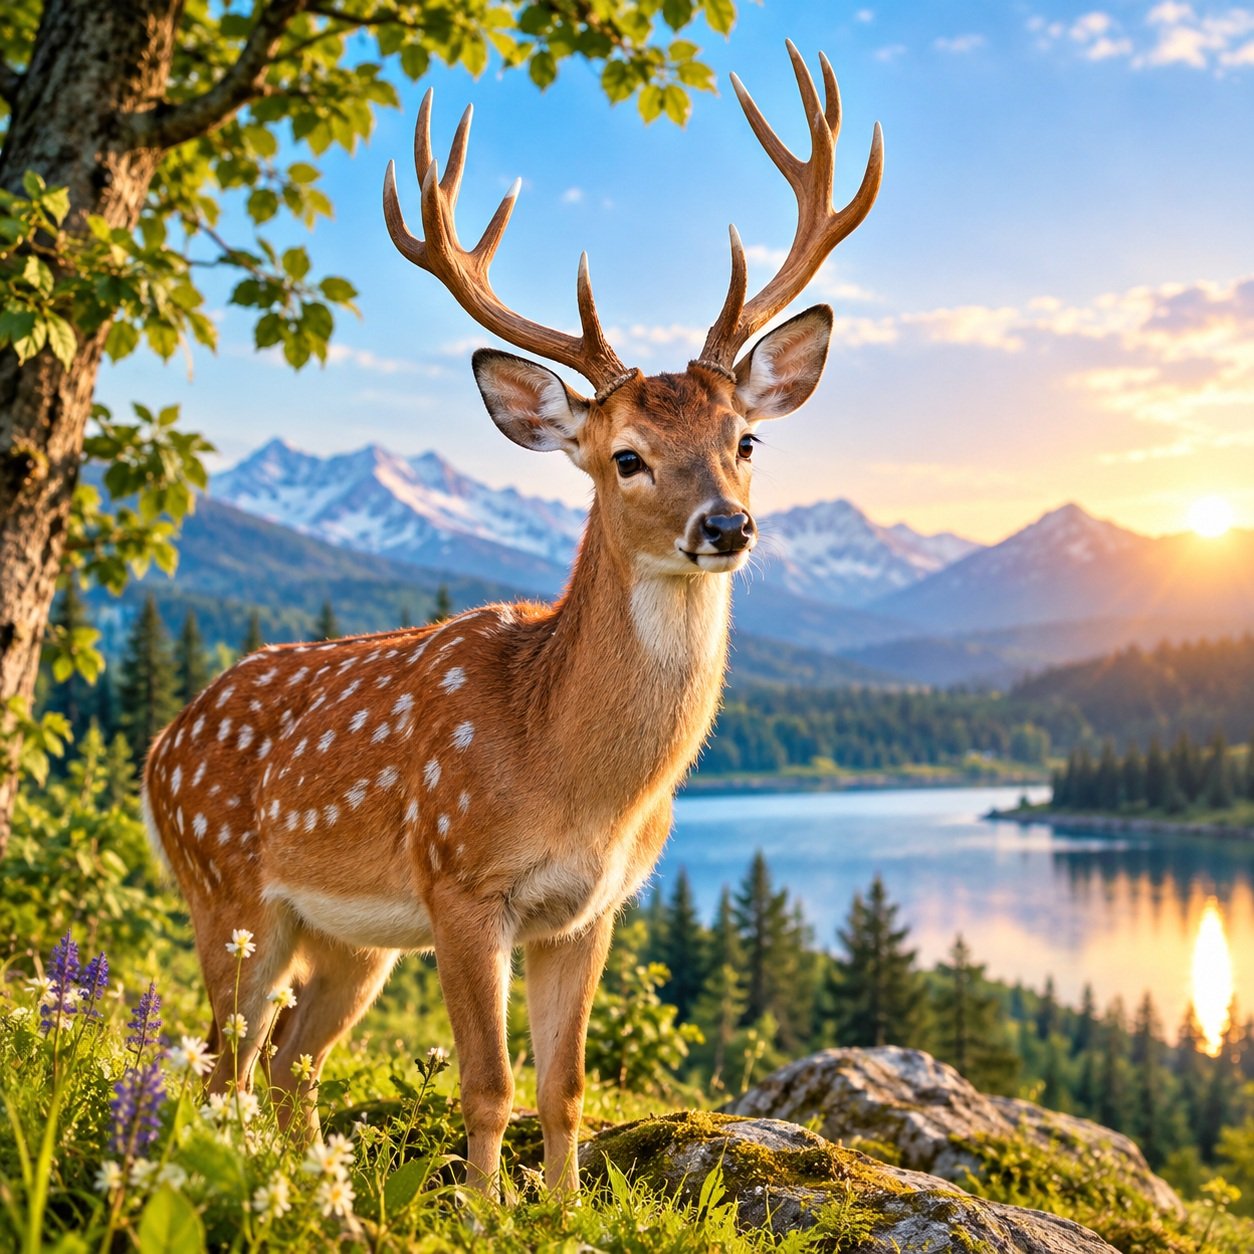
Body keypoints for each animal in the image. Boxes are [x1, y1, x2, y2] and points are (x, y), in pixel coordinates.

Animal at [141, 41, 882, 1197]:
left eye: (746, 439)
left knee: (291, 1065)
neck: (574, 778)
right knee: (221, 1062)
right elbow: (486, 1086)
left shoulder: (591, 908)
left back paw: (322, 1194)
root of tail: (161, 742)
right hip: (224, 889)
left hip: (348, 940)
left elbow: (563, 1088)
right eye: (625, 456)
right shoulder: (461, 883)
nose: (727, 525)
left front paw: (564, 1212)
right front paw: (484, 1212)